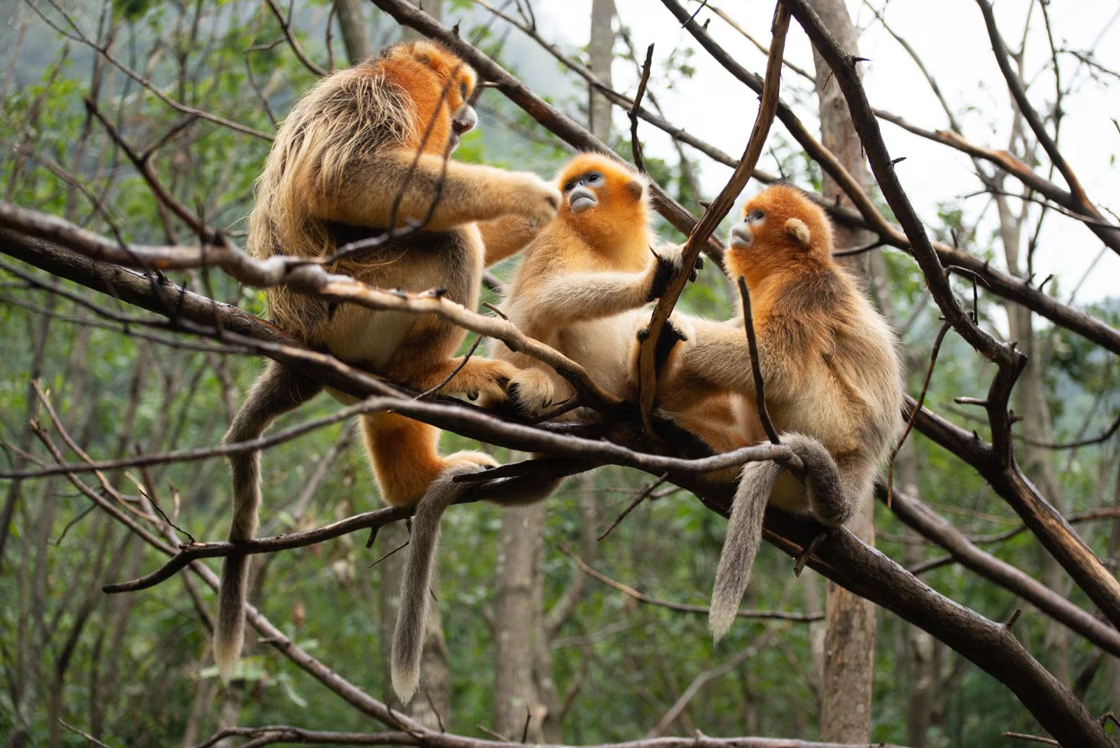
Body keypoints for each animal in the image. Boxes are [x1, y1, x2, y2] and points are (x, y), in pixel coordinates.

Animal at [214, 40, 563, 682]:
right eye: (460, 93)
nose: (468, 120)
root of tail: (296, 335)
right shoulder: (386, 98)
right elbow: (345, 179)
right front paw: (526, 194)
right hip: (361, 301)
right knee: (452, 240)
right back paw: (428, 372)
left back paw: (418, 476)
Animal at [655, 184, 903, 642]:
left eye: (756, 218)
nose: (738, 224)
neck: (794, 265)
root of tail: (860, 468)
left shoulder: (802, 291)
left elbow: (775, 367)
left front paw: (667, 320)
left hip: (830, 422)